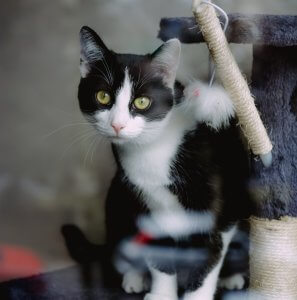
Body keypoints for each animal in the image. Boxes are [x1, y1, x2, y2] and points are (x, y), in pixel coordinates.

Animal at [77, 26, 250, 300]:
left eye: (142, 102)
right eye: (102, 96)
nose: (117, 125)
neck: (153, 150)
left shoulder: (219, 210)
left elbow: (210, 252)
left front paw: (197, 296)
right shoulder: (141, 200)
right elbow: (159, 256)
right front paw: (161, 294)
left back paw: (231, 277)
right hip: (117, 197)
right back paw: (135, 277)